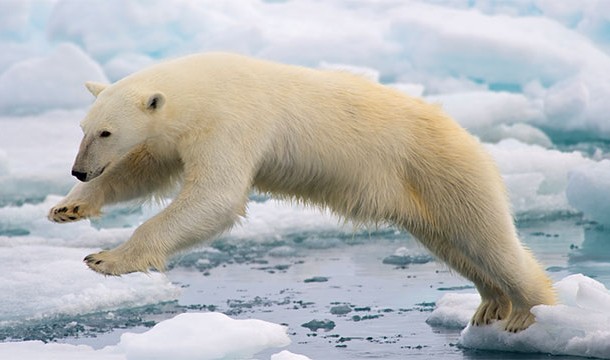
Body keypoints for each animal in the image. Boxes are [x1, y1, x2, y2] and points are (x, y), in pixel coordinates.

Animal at [47, 52, 552, 332]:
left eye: (106, 132)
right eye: (83, 128)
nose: (79, 170)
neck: (200, 90)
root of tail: (467, 135)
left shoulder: (232, 122)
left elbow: (215, 196)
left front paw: (106, 258)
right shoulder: (177, 135)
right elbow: (145, 170)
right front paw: (68, 208)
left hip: (443, 170)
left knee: (488, 238)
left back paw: (528, 311)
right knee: (455, 244)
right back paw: (490, 304)